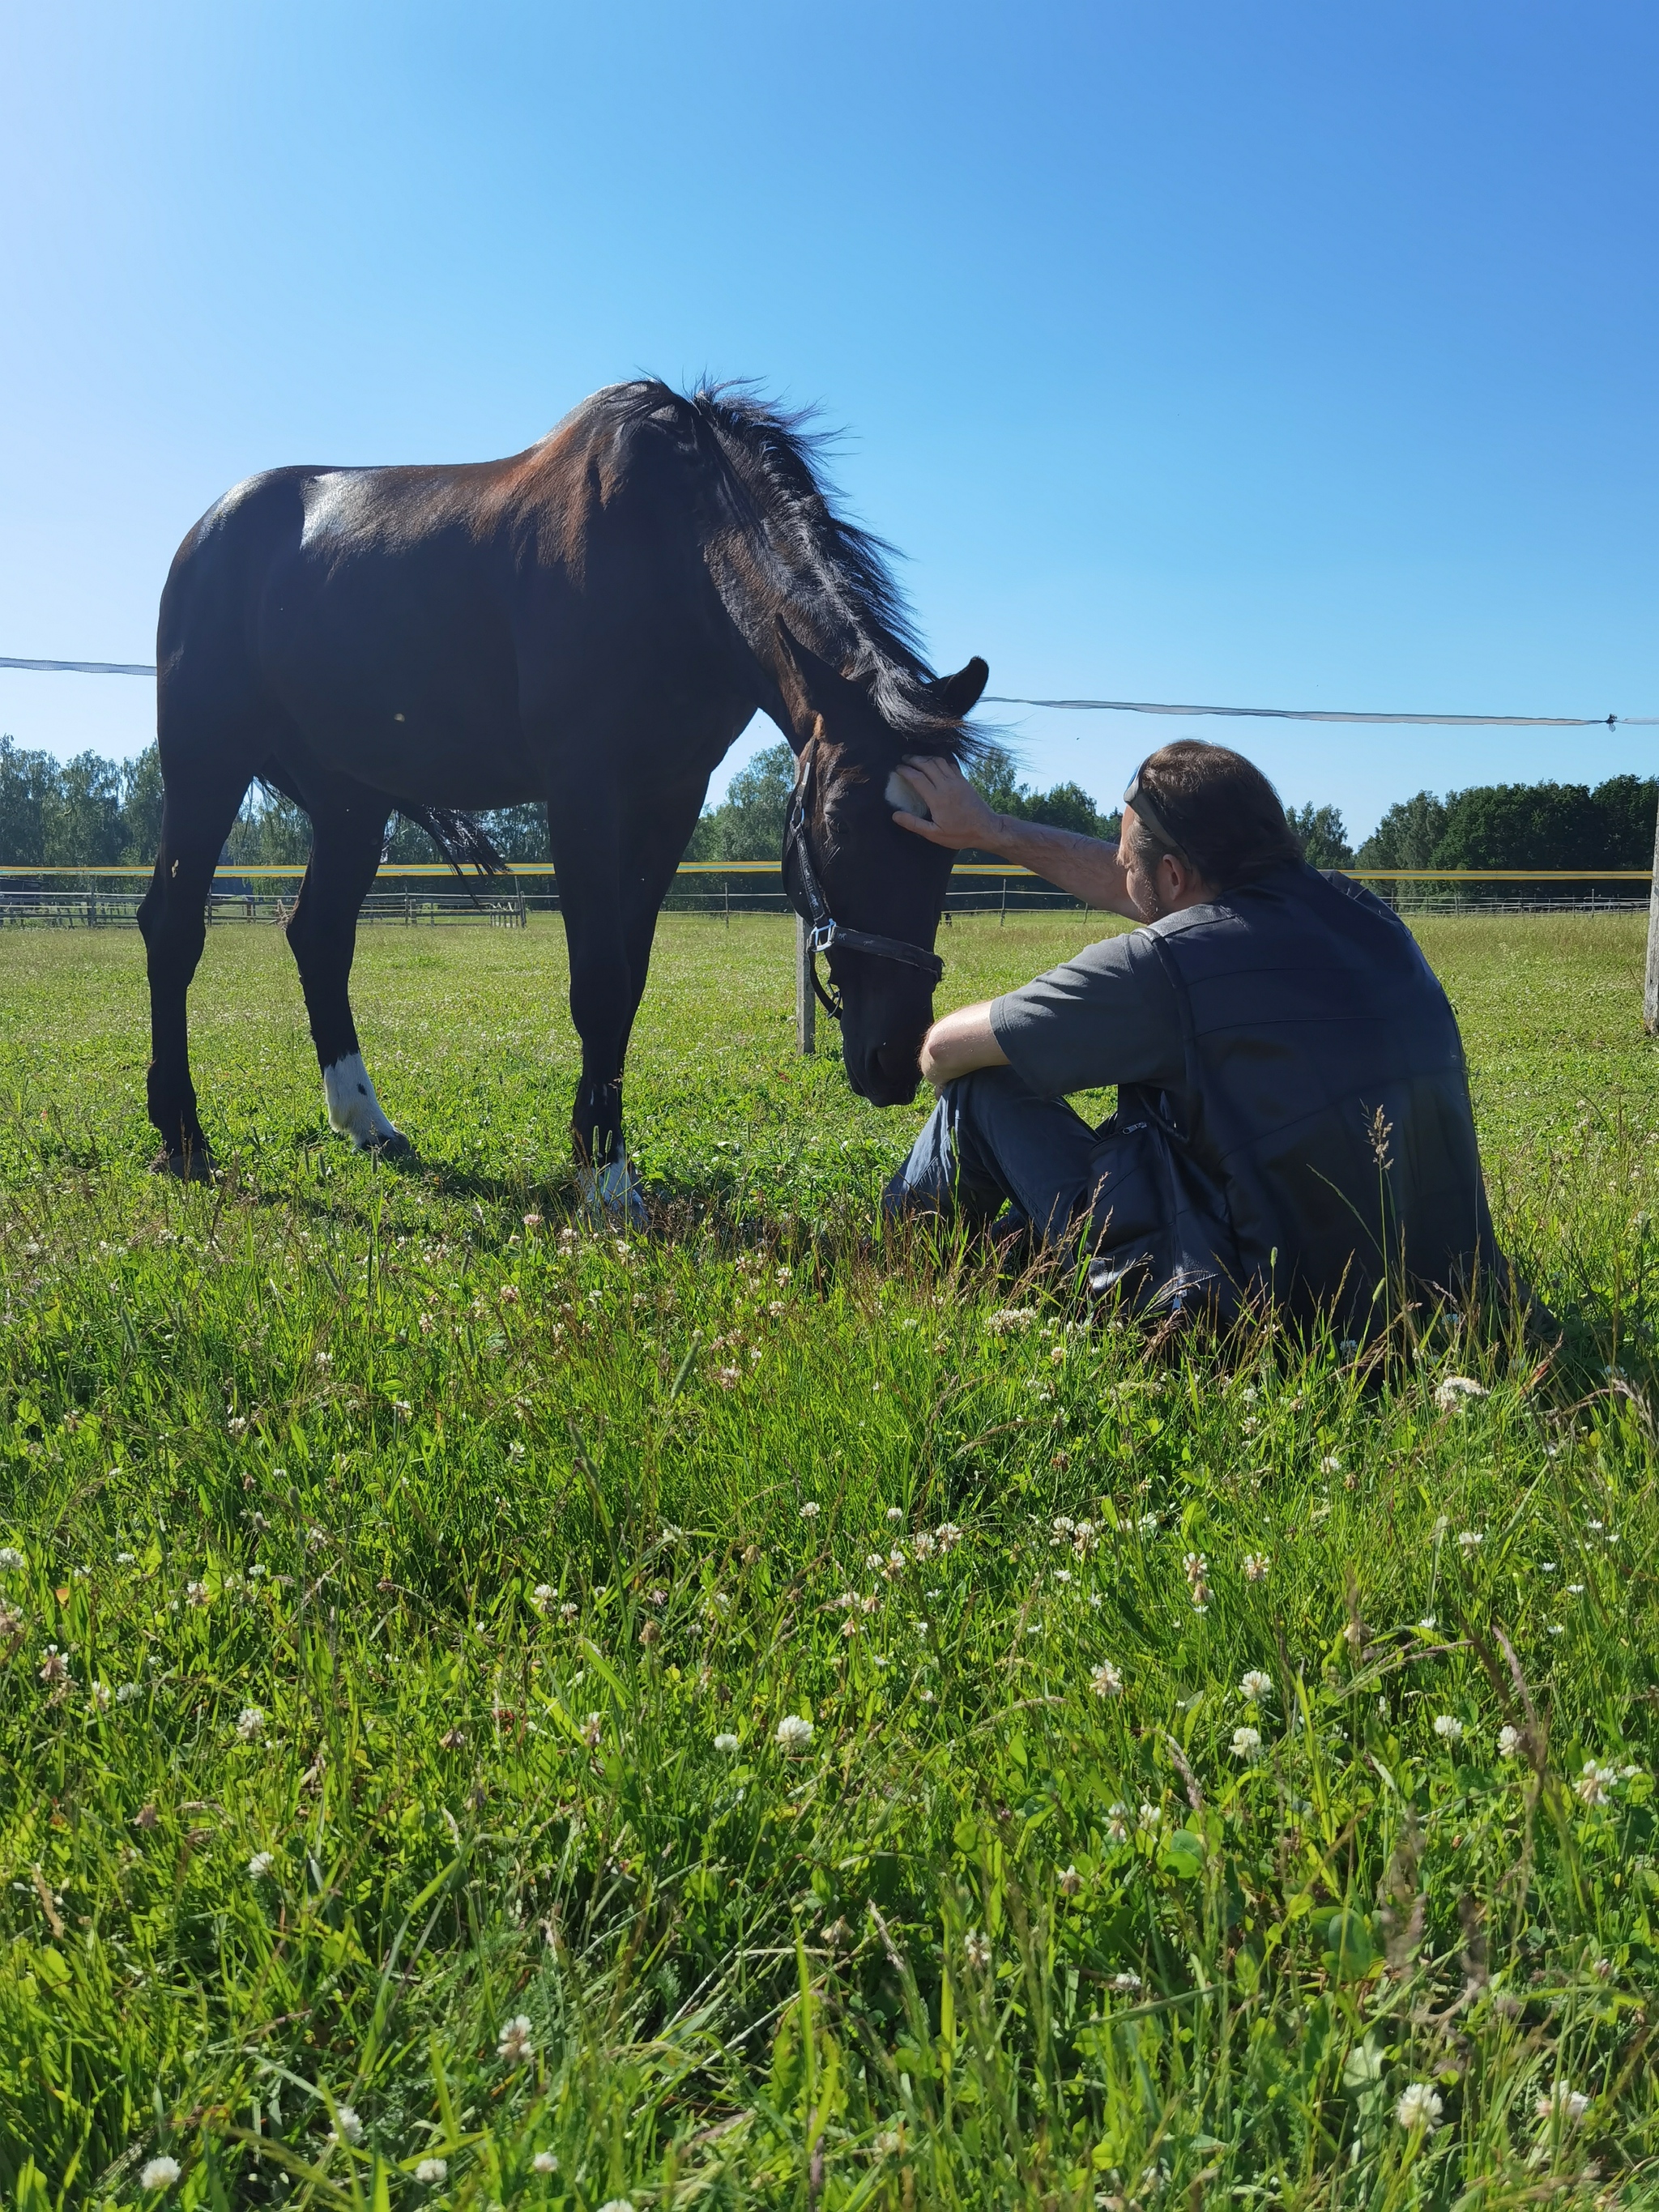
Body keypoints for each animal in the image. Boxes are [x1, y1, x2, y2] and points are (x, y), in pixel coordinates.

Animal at [143, 385, 986, 1212]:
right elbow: (600, 983)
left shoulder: (671, 797)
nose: (895, 1059)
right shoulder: (583, 789)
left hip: (351, 800)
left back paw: (367, 1124)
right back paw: (184, 1136)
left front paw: (592, 1148)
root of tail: (206, 533)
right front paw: (607, 1175)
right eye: (837, 824)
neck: (670, 553)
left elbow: (629, 983)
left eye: (951, 840)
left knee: (319, 937)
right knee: (173, 929)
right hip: (206, 763)